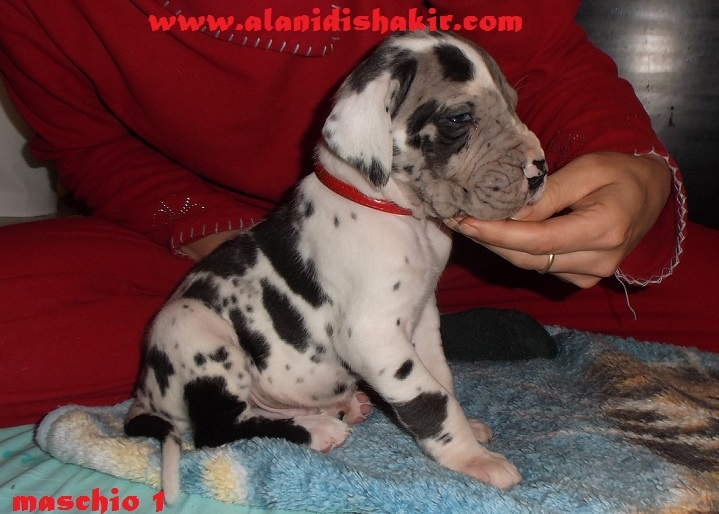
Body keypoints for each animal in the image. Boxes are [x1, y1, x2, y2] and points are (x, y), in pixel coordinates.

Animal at [125, 30, 547, 503]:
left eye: (512, 103)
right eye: (460, 117)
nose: (540, 171)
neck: (396, 211)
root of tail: (145, 392)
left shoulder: (422, 316)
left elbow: (442, 378)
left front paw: (468, 433)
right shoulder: (373, 336)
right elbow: (429, 397)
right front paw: (471, 458)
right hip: (196, 331)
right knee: (219, 430)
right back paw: (318, 429)